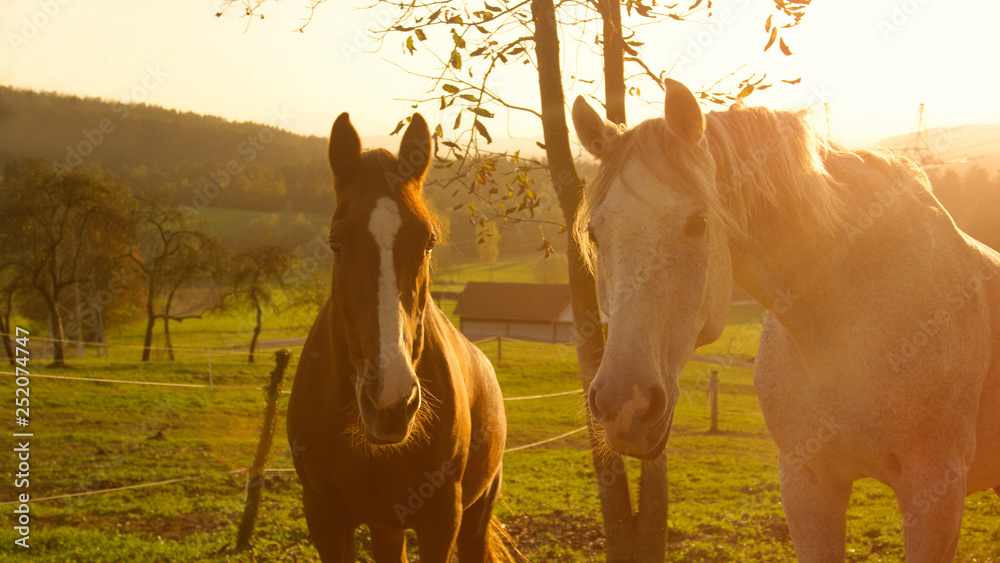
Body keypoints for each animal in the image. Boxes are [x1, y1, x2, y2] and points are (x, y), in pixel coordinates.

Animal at [286, 112, 512, 560]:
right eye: (335, 242)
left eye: (428, 242)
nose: (390, 401)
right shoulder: (324, 518)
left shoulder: (442, 519)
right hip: (386, 525)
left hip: (474, 519)